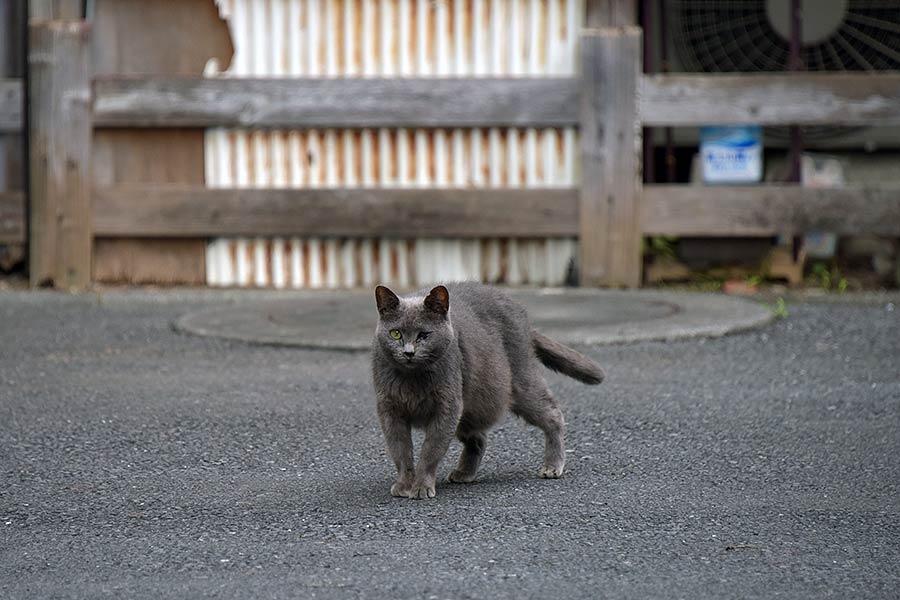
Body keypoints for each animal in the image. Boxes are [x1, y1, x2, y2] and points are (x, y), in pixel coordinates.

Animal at [370, 284, 608, 500]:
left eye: (424, 335)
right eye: (395, 333)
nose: (408, 352)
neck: (412, 379)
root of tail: (522, 315)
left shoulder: (447, 406)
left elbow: (431, 450)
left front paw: (421, 487)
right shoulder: (389, 410)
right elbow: (400, 450)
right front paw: (404, 485)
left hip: (519, 384)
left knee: (553, 415)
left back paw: (552, 465)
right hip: (471, 402)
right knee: (479, 438)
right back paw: (464, 473)